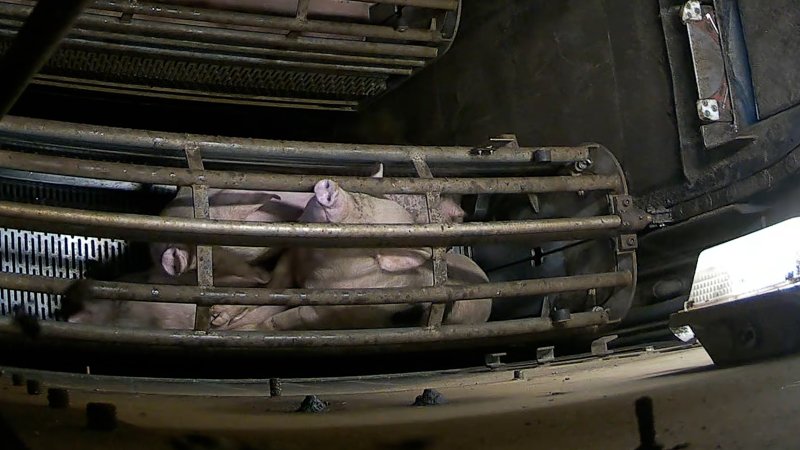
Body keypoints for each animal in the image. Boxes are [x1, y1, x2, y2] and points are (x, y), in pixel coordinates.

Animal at [209, 179, 490, 330]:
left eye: (369, 227)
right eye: (361, 194)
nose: (331, 187)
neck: (314, 266)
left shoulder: (327, 310)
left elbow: (283, 318)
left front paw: (240, 329)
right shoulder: (289, 263)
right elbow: (270, 291)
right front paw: (217, 317)